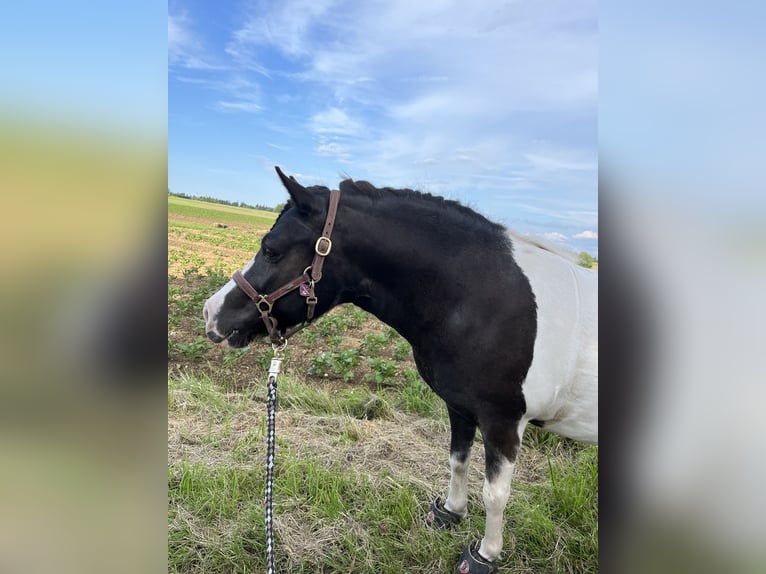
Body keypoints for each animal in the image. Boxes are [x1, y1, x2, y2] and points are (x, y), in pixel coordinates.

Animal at [204, 168, 600, 574]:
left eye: (271, 250)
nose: (210, 312)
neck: (480, 298)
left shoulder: (503, 421)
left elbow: (495, 495)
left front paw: (485, 554)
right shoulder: (460, 407)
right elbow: (458, 461)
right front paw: (450, 512)